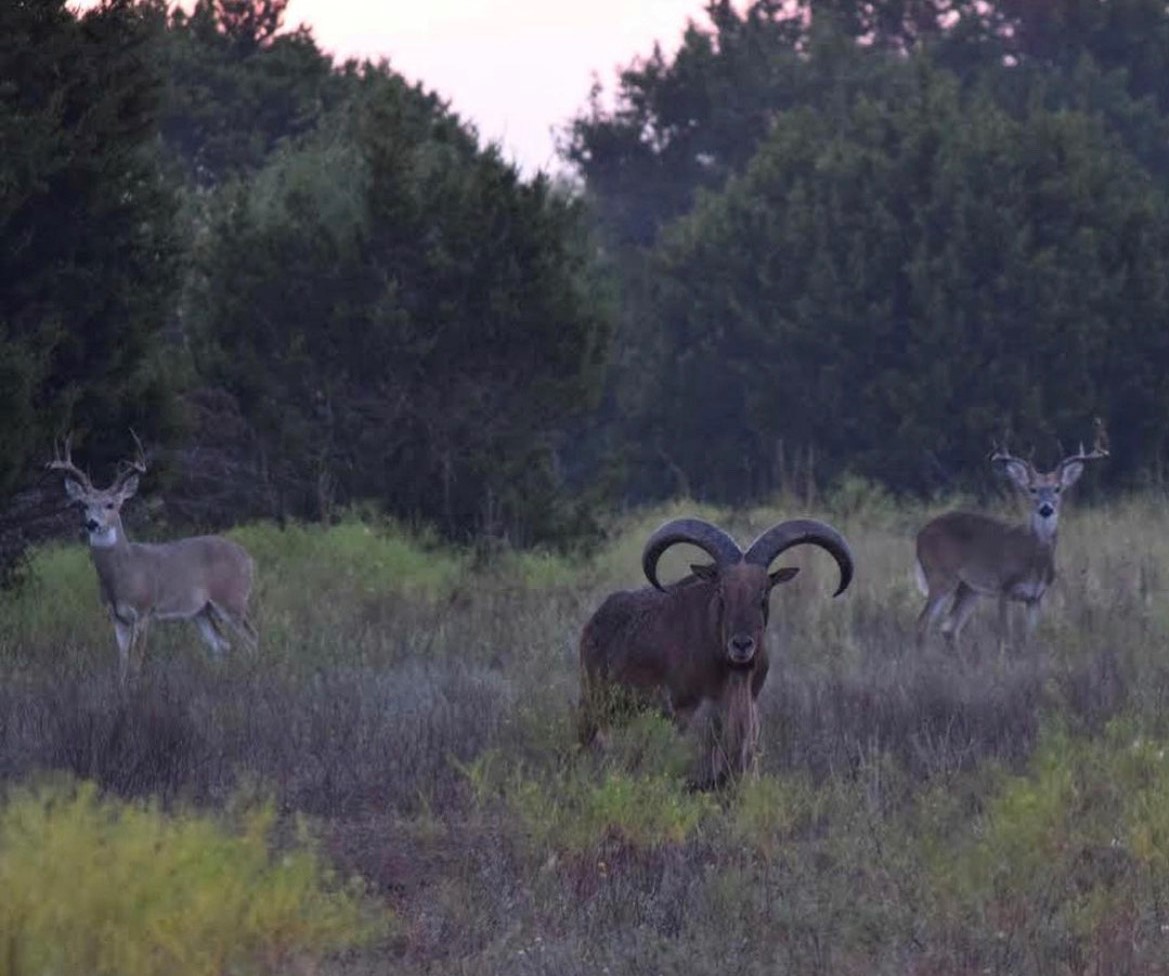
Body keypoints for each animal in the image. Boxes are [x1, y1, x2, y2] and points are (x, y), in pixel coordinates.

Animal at [49, 432, 257, 682]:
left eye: (110, 504)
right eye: (83, 505)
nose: (92, 523)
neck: (124, 572)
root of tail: (247, 558)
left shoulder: (144, 610)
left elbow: (136, 662)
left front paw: (136, 686)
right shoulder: (116, 616)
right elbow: (122, 662)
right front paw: (121, 687)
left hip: (232, 597)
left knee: (251, 639)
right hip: (201, 610)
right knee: (221, 644)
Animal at [911, 420, 1103, 649]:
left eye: (1057, 488)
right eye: (1032, 489)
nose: (1046, 508)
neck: (1034, 559)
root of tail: (920, 535)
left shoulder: (1036, 597)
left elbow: (1030, 638)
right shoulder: (1004, 587)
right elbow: (1006, 636)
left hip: (969, 588)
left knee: (949, 628)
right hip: (940, 575)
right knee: (922, 624)